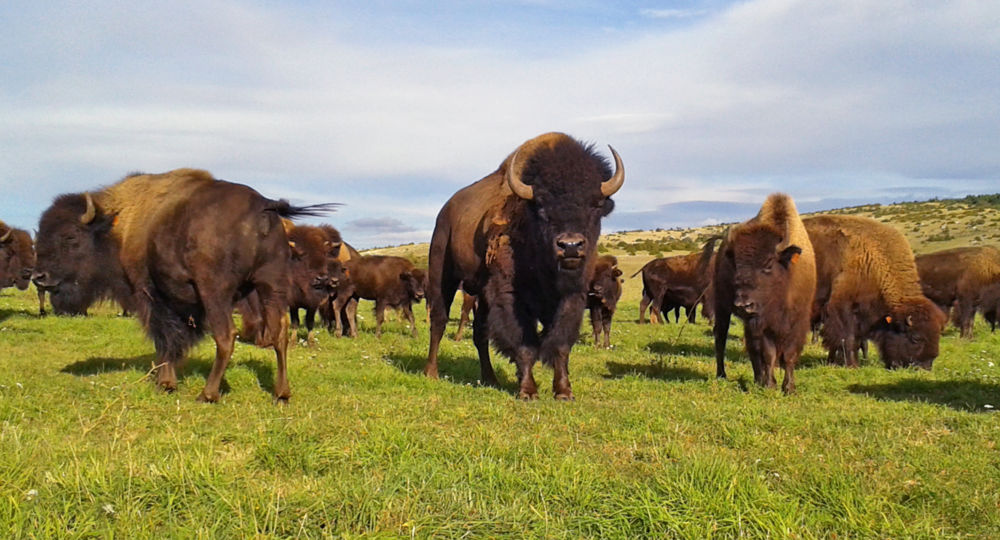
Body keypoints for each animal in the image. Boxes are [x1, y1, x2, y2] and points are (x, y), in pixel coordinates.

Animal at [33, 169, 334, 402]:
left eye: (70, 237)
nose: (39, 276)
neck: (118, 227)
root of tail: (263, 205)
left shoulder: (150, 296)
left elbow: (166, 339)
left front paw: (165, 384)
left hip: (216, 292)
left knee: (226, 336)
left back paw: (207, 394)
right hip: (271, 286)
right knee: (279, 334)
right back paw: (281, 393)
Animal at [424, 132, 624, 400]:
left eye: (595, 204)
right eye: (541, 205)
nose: (570, 246)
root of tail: (445, 212)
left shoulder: (572, 297)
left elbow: (560, 343)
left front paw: (564, 392)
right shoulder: (511, 297)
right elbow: (525, 343)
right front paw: (528, 391)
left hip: (481, 294)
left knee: (480, 334)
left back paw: (490, 378)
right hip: (442, 274)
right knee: (439, 321)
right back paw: (431, 372)